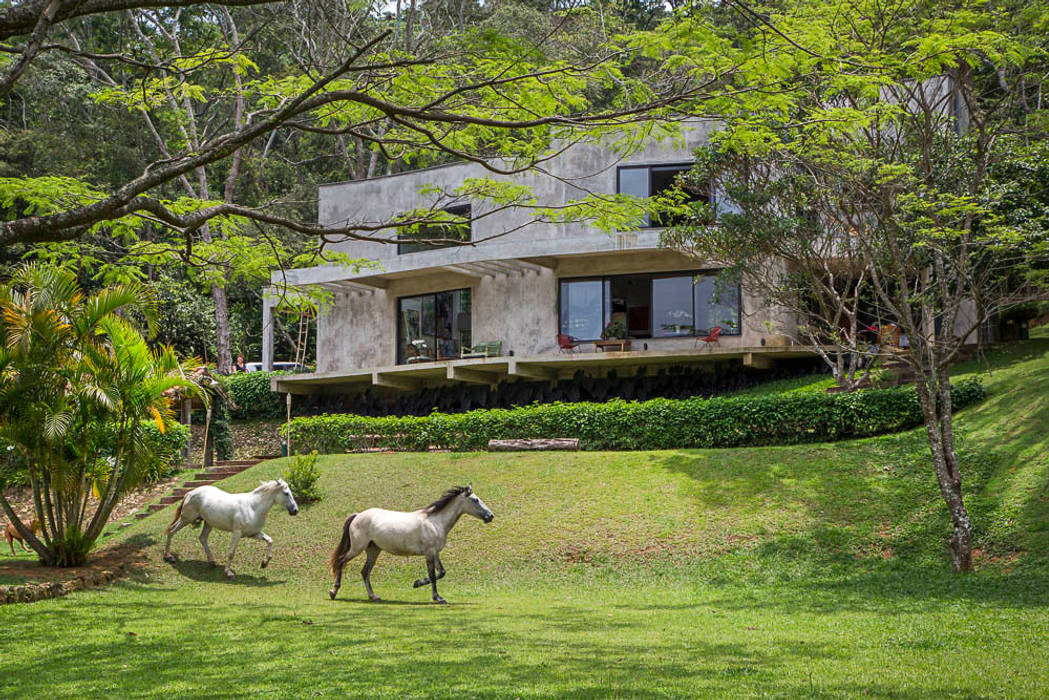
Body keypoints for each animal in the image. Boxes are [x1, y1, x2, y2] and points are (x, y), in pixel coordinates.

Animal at [161, 478, 300, 579]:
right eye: (286, 493)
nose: (295, 511)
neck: (253, 507)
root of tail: (190, 493)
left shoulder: (254, 533)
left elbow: (270, 540)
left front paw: (264, 563)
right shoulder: (237, 533)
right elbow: (231, 553)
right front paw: (229, 573)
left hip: (208, 523)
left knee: (202, 538)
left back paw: (212, 562)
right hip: (186, 519)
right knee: (171, 531)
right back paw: (169, 557)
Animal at [325, 484, 493, 604]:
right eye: (475, 500)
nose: (490, 516)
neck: (435, 522)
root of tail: (358, 515)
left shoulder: (435, 552)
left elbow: (441, 573)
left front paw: (417, 583)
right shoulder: (429, 553)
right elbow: (433, 575)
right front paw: (438, 598)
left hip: (373, 550)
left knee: (365, 572)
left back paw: (374, 596)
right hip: (357, 548)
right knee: (341, 561)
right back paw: (333, 592)